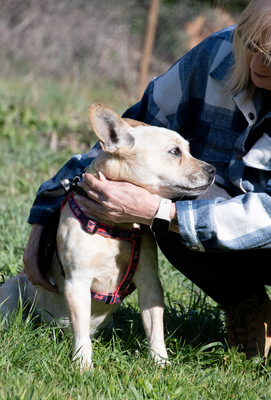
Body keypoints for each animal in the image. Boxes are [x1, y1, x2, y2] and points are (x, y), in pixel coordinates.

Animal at [0, 103, 217, 368]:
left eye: (188, 149)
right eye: (175, 152)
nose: (213, 170)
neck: (115, 227)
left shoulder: (149, 283)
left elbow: (155, 328)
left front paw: (160, 362)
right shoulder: (77, 283)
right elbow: (81, 331)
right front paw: (83, 364)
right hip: (11, 295)